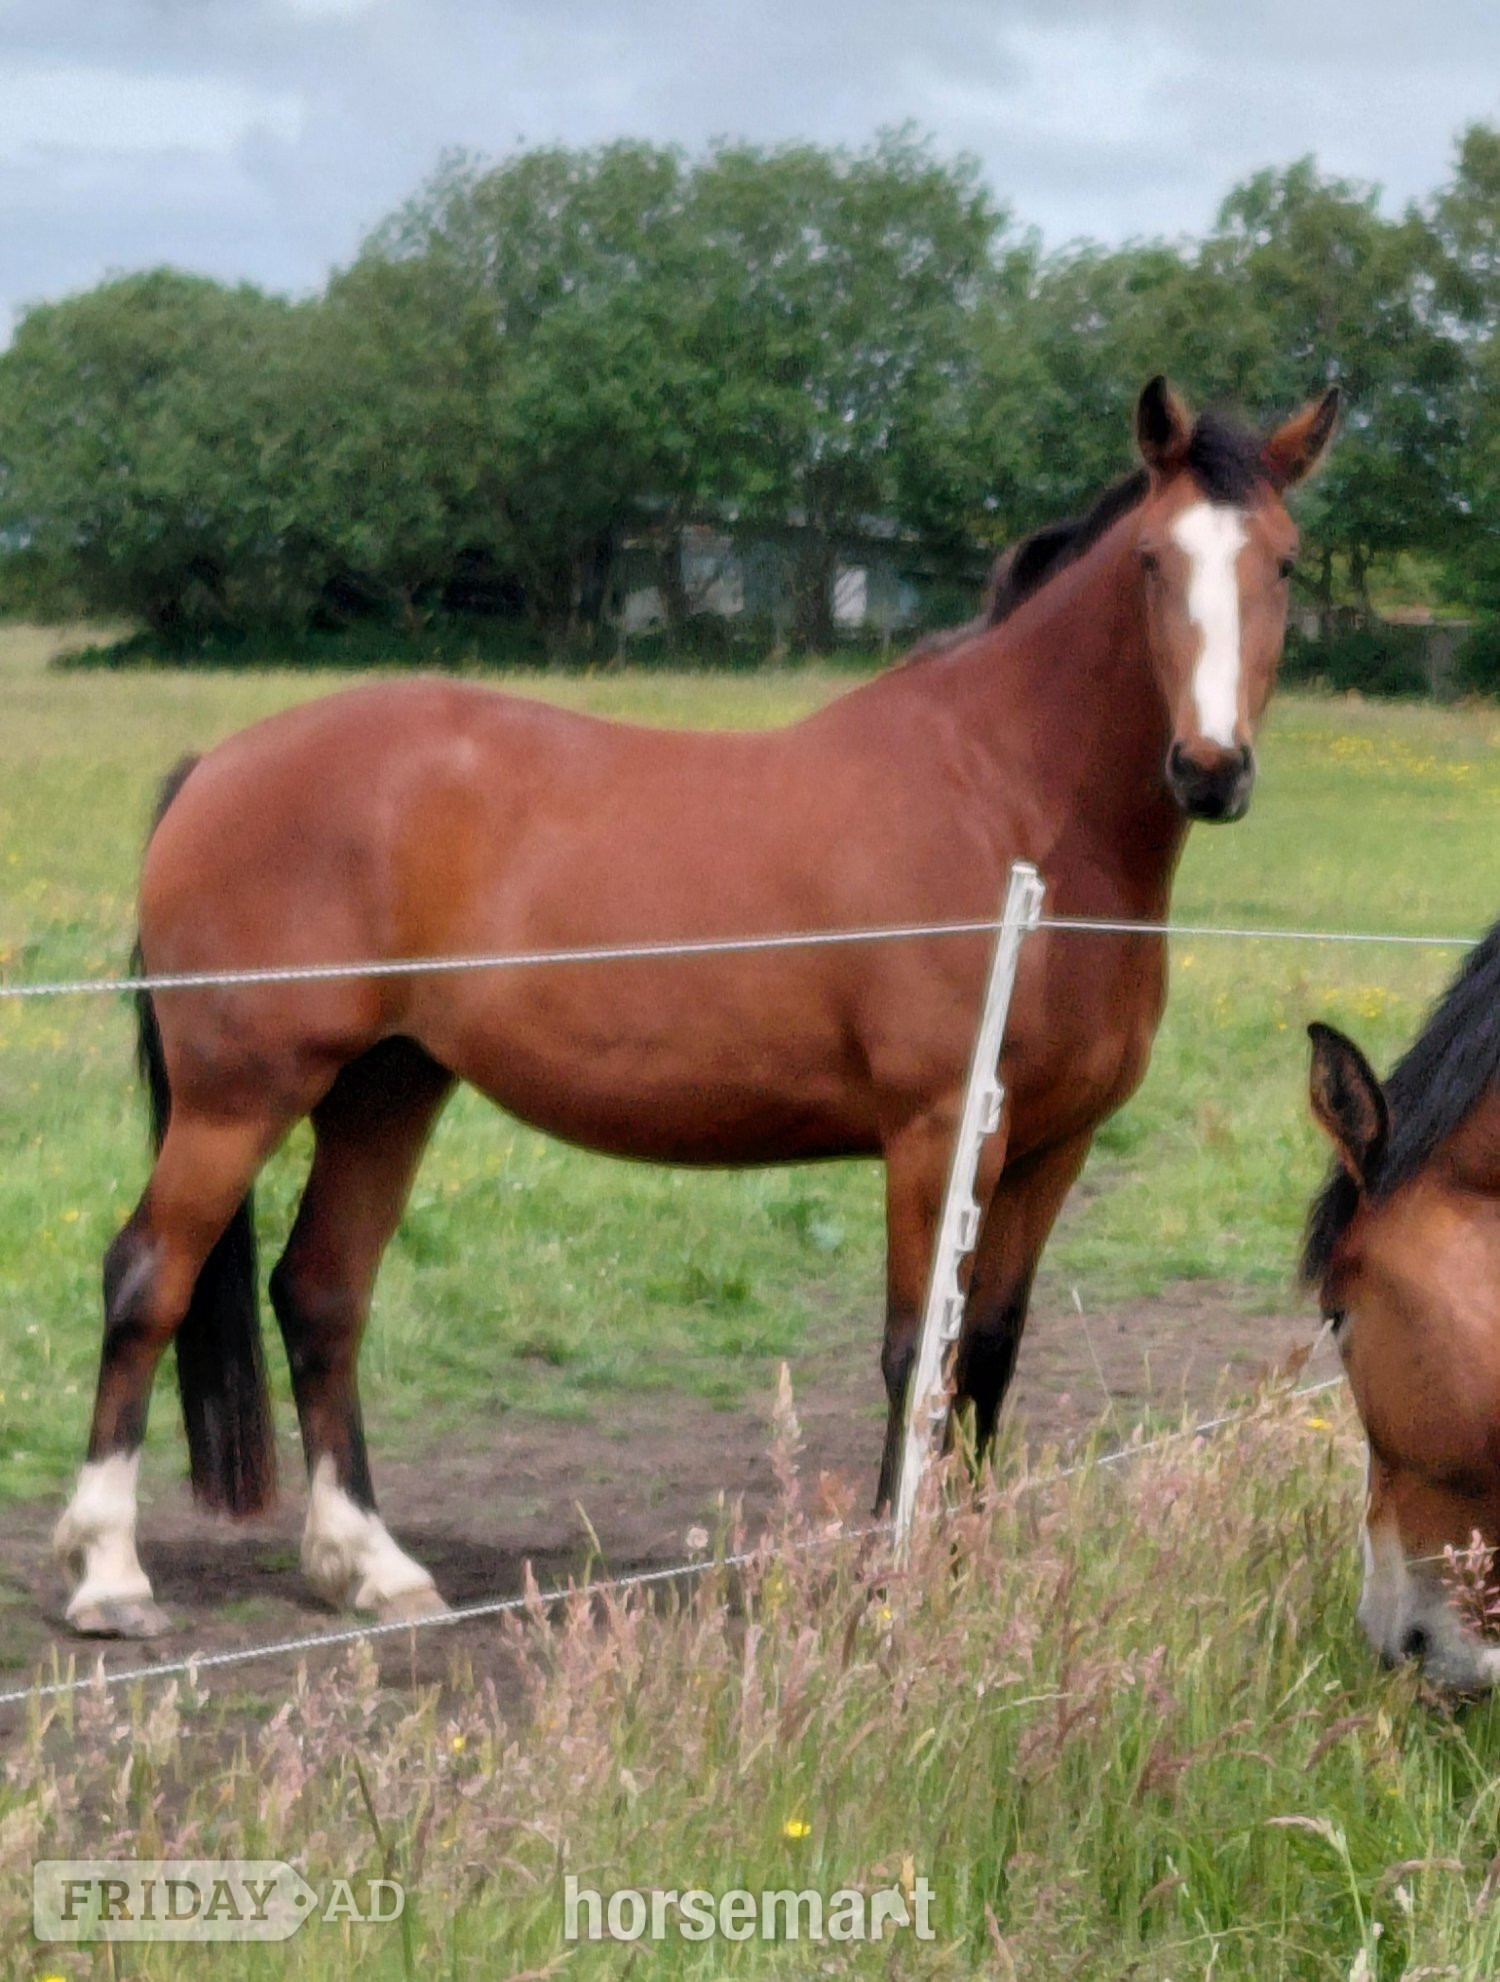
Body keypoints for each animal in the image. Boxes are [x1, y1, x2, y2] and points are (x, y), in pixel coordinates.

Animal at [54, 375, 1337, 1636]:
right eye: (1153, 561)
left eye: (1282, 562)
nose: (1210, 769)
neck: (1013, 806)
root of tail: (218, 766)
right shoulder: (934, 1130)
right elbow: (914, 1352)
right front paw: (894, 1585)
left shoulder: (1049, 1147)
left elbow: (987, 1354)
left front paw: (970, 1581)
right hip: (240, 1094)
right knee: (147, 1276)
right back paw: (110, 1575)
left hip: (388, 1085)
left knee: (321, 1292)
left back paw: (371, 1568)